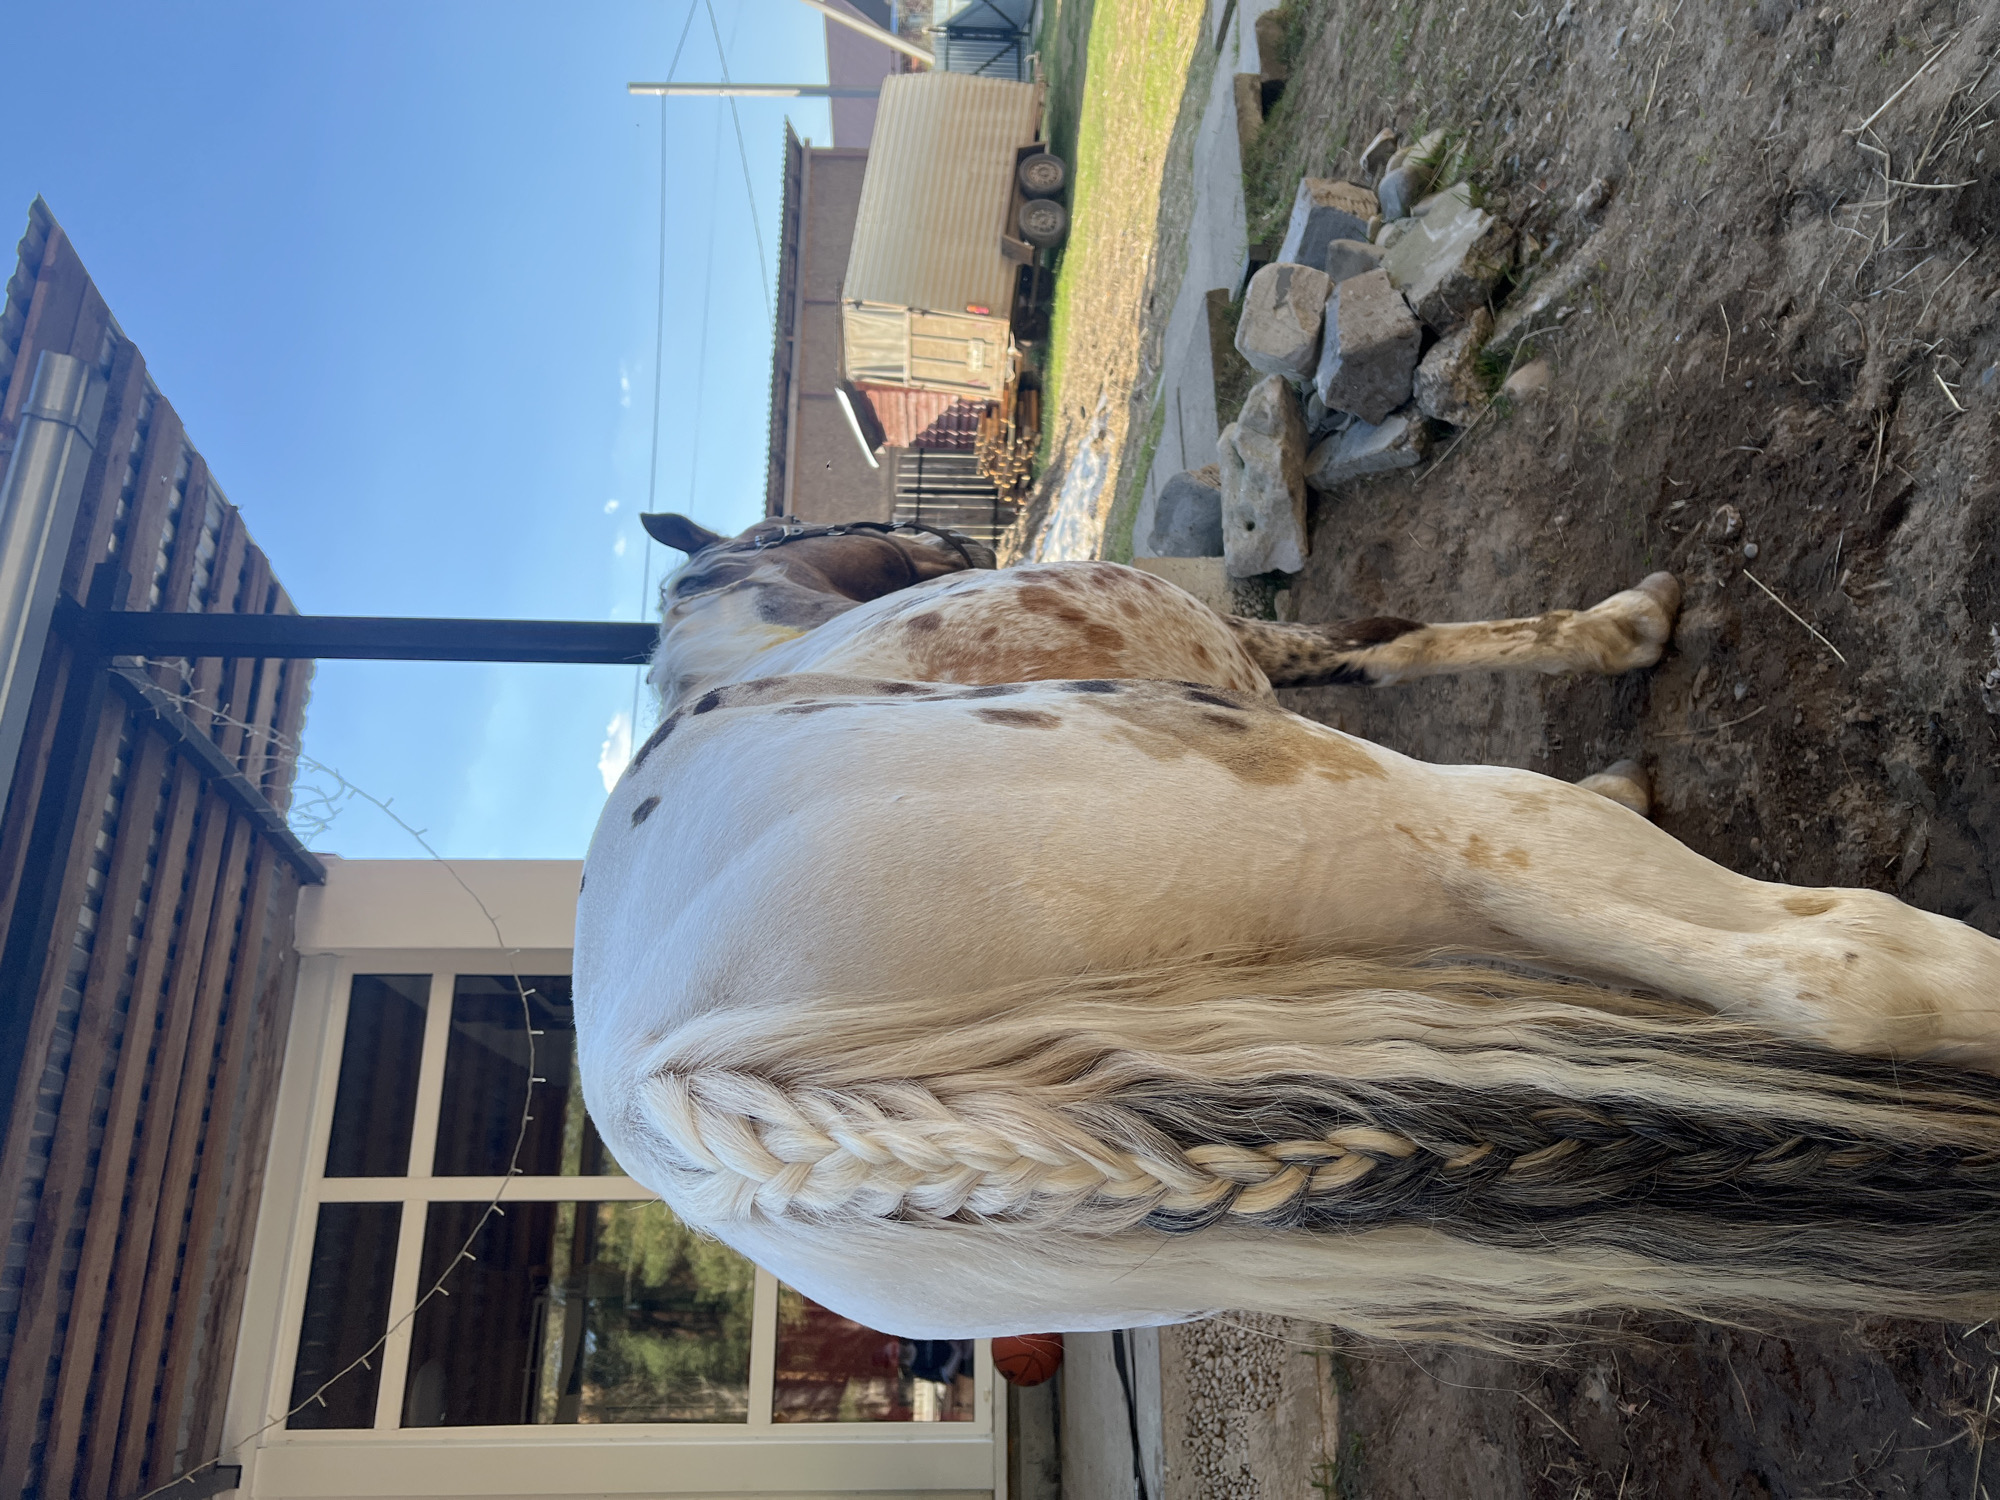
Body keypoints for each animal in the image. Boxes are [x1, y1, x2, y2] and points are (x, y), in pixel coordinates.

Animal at [572, 512, 2000, 1346]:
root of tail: (680, 1096)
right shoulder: (1270, 671)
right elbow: (1386, 637)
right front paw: (1622, 632)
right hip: (1419, 826)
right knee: (1826, 968)